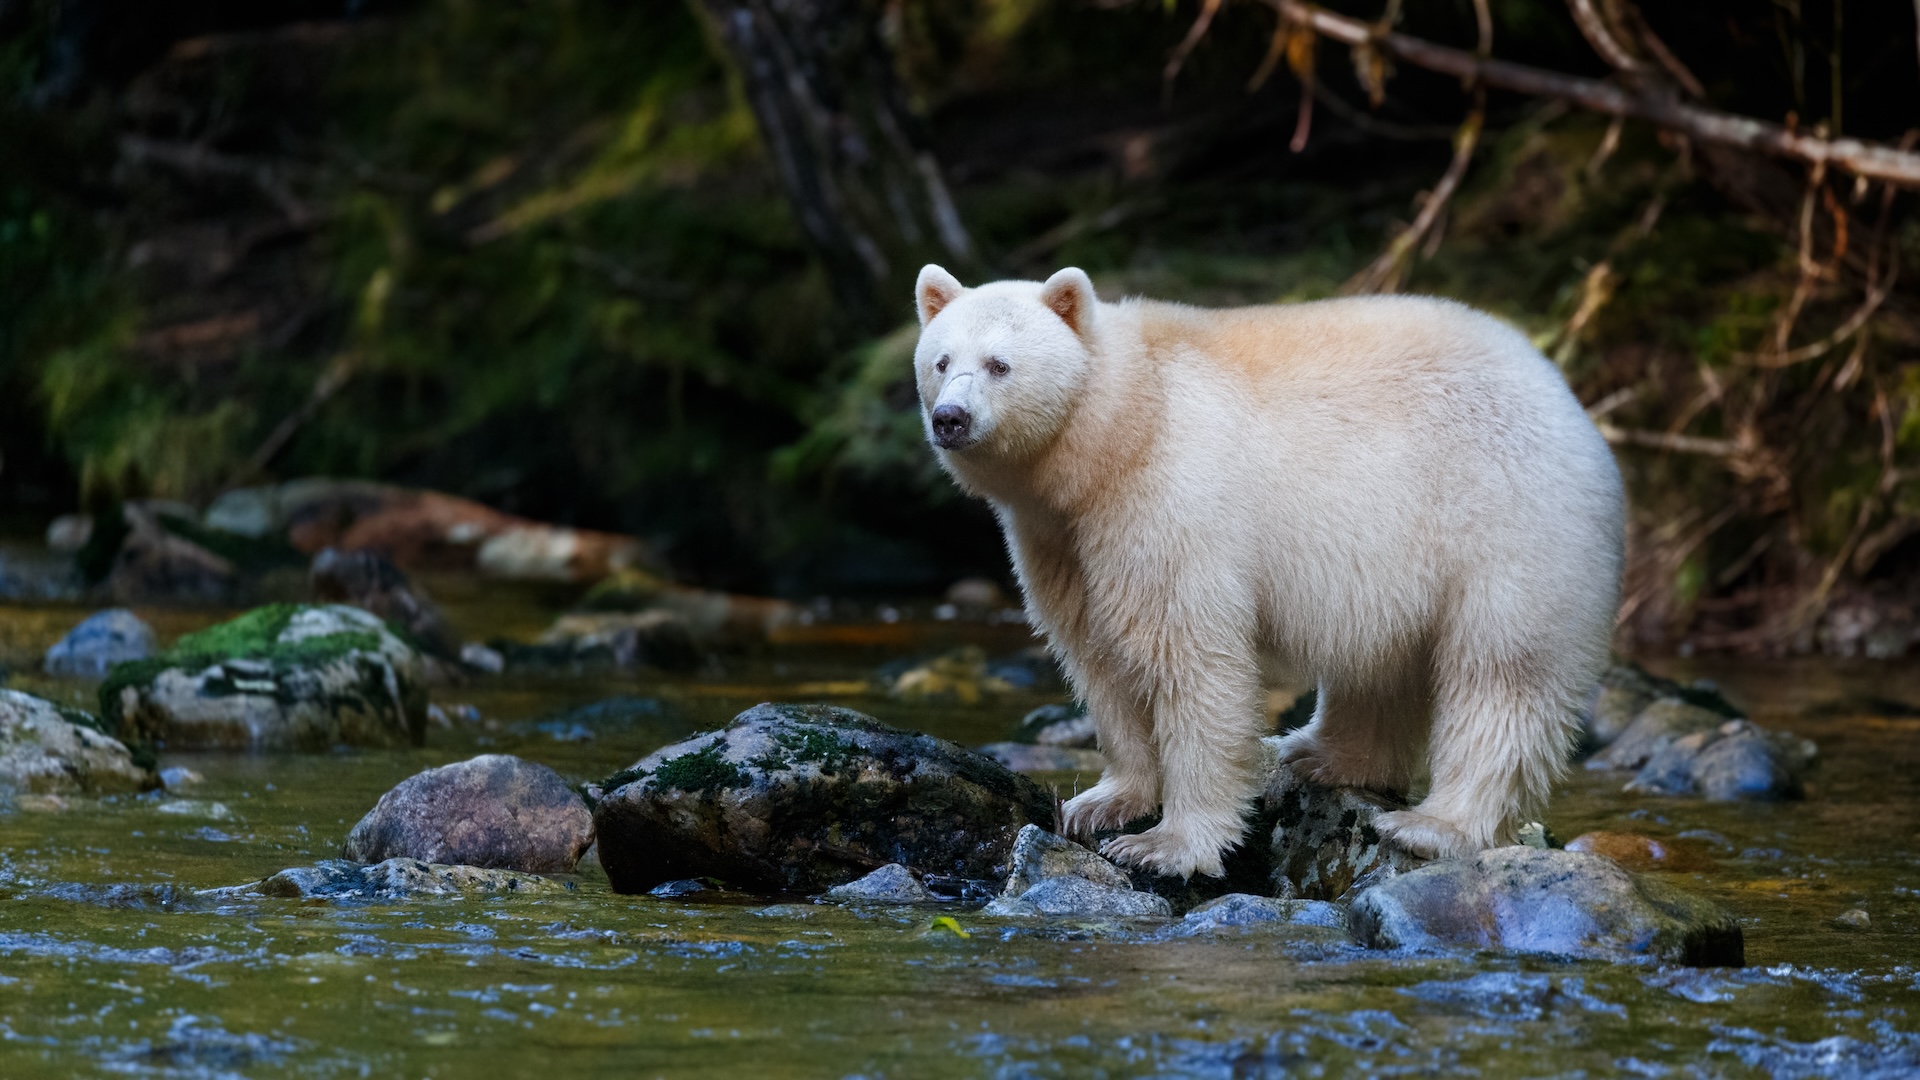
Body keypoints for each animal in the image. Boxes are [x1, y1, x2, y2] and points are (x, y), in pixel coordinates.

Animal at [910, 265, 1620, 880]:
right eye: (940, 362)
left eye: (1000, 365)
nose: (951, 418)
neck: (1119, 426)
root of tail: (1564, 394)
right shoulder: (1060, 539)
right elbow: (1100, 656)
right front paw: (1102, 803)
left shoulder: (1166, 501)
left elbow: (1189, 658)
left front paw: (1167, 844)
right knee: (1382, 664)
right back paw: (1317, 755)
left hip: (1503, 519)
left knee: (1502, 671)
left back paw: (1433, 823)